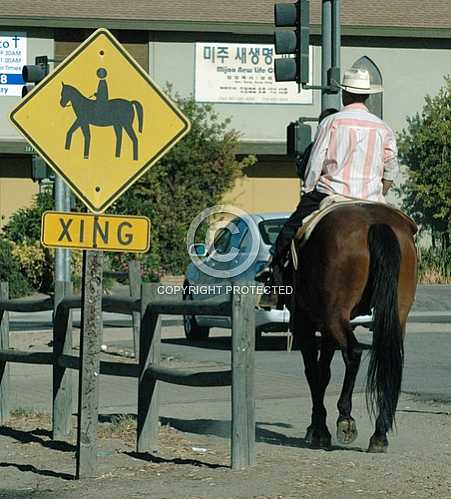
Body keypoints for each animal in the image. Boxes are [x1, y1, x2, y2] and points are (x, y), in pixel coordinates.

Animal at [292, 202, 418, 454]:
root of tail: (376, 223)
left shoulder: (304, 324)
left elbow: (313, 372)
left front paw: (318, 430)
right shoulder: (326, 329)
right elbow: (323, 372)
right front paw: (318, 427)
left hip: (335, 315)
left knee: (354, 352)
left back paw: (345, 418)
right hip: (396, 313)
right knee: (390, 359)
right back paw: (379, 433)